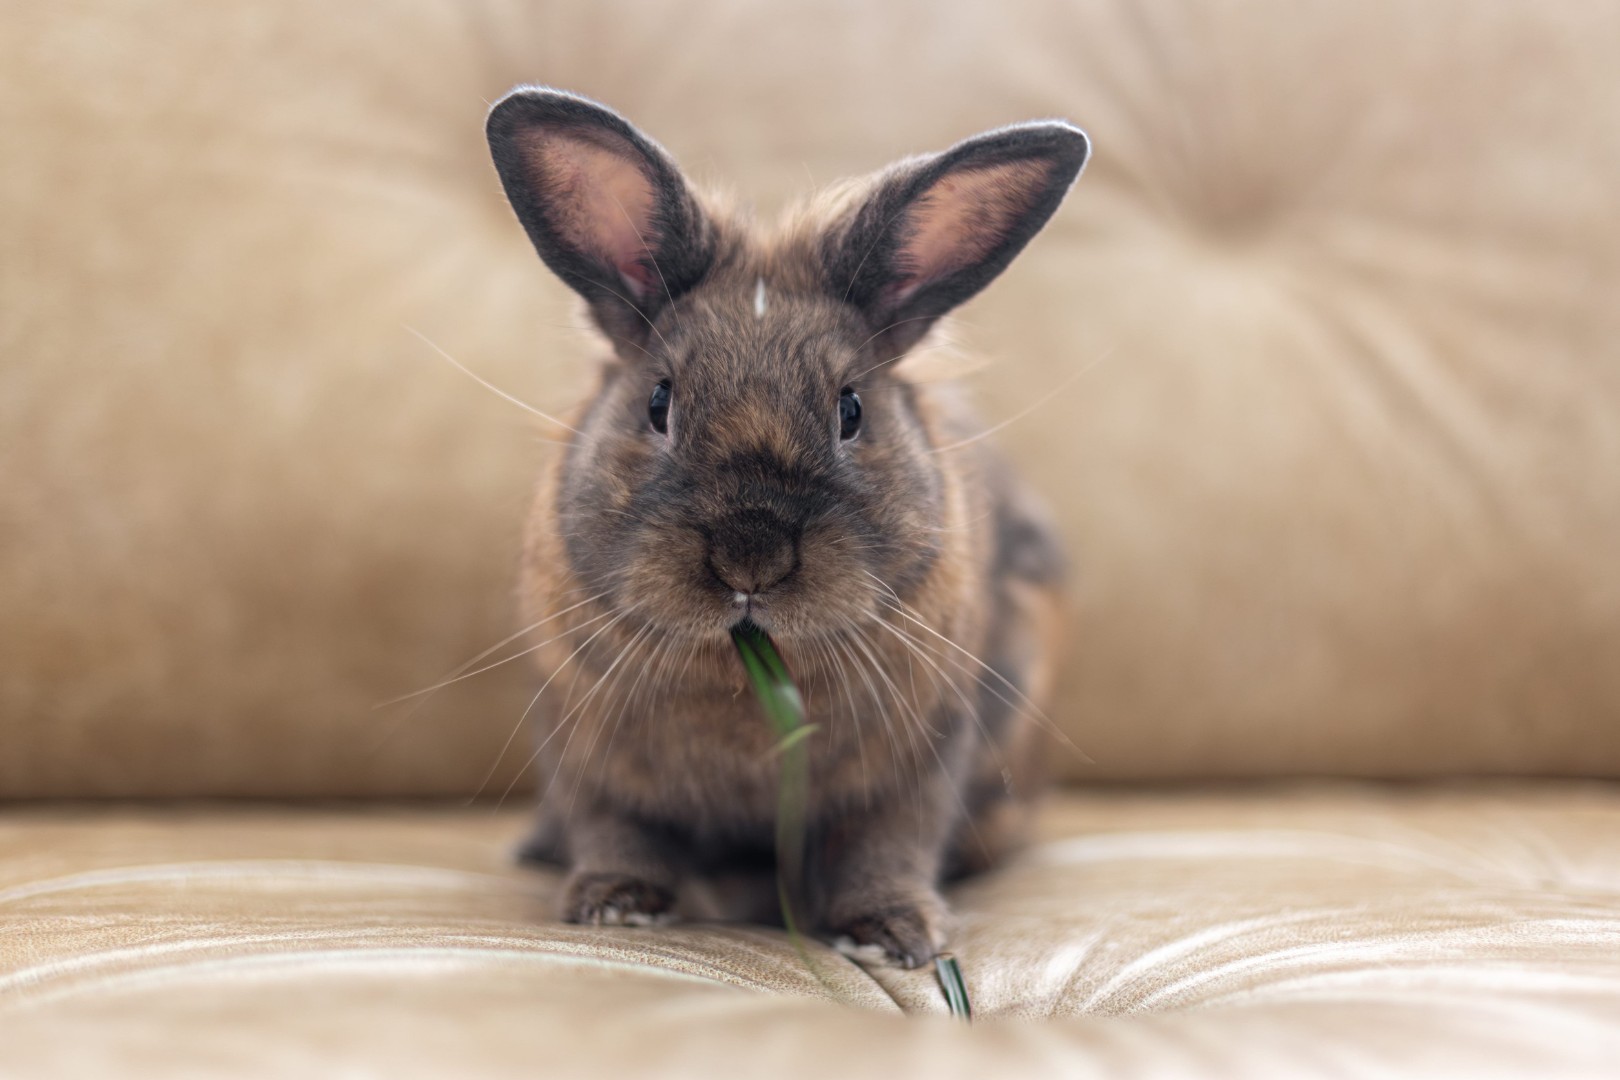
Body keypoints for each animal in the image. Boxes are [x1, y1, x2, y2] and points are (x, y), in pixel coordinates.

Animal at [486, 87, 1087, 968]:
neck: (742, 676)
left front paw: (896, 936)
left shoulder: (920, 762)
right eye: (658, 401)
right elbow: (617, 830)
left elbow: (888, 847)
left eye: (851, 409)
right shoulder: (583, 748)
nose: (751, 556)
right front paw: (614, 906)